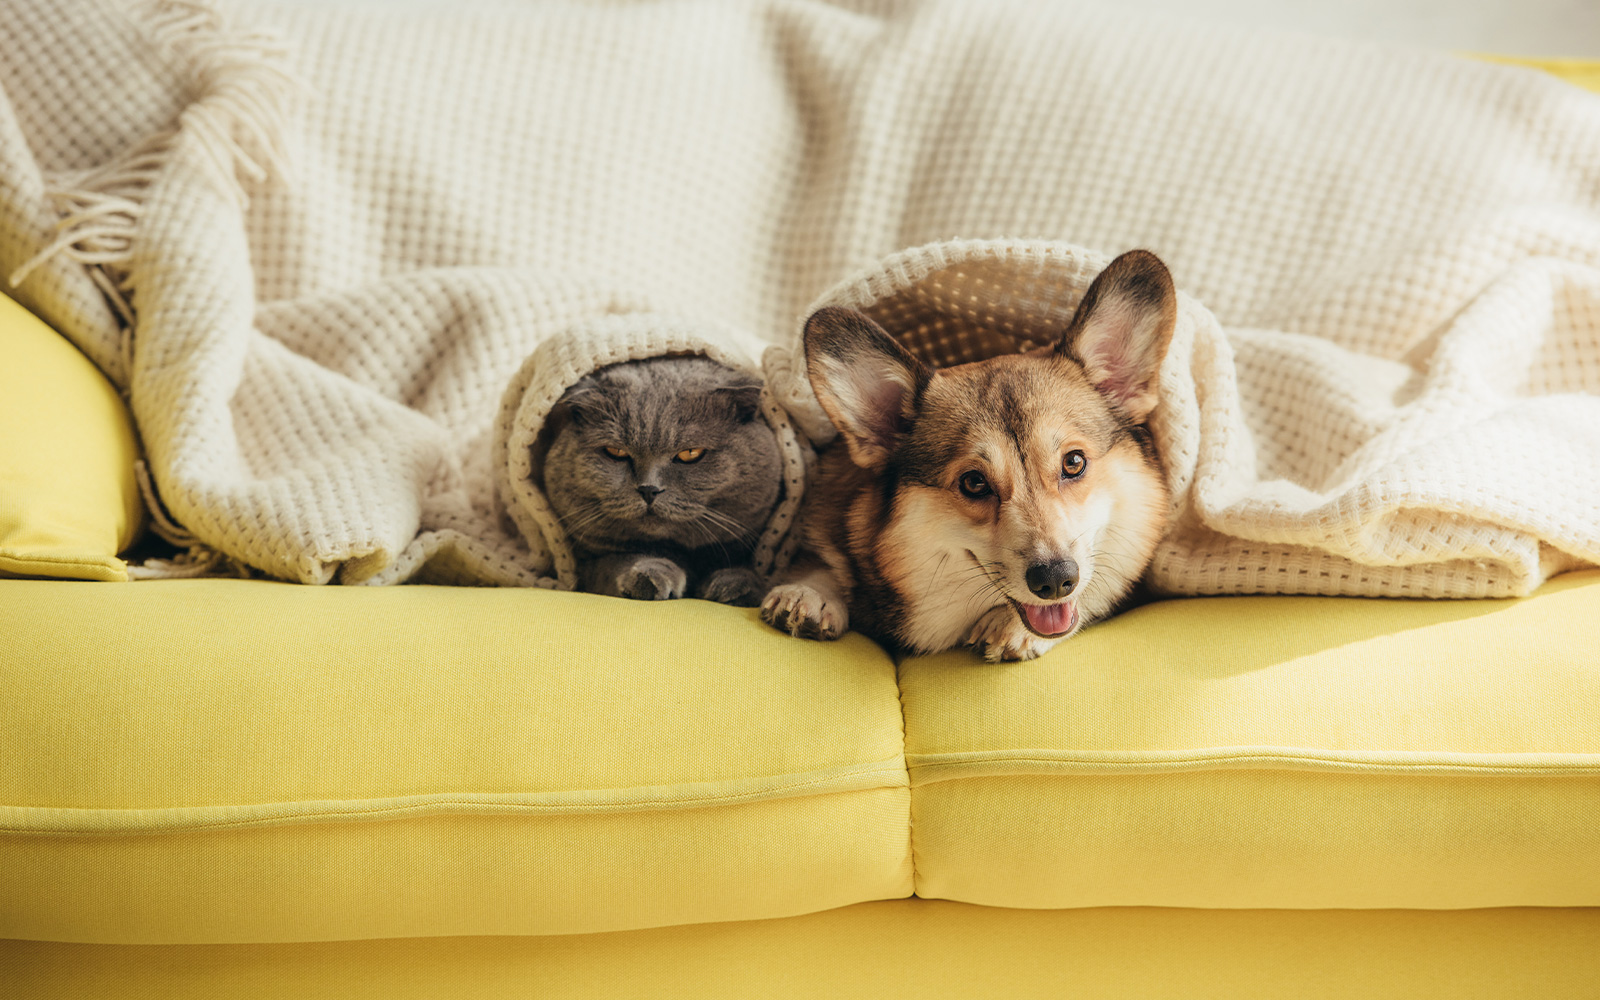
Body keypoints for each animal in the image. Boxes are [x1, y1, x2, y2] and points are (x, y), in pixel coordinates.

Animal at [540, 358, 784, 608]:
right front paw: (650, 575)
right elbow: (613, 562)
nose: (649, 489)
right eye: (616, 452)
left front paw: (736, 584)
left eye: (690, 453)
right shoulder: (584, 565)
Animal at [755, 248, 1184, 662]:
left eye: (1074, 463)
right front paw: (809, 593)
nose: (1055, 580)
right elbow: (822, 562)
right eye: (974, 482)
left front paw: (1010, 626)